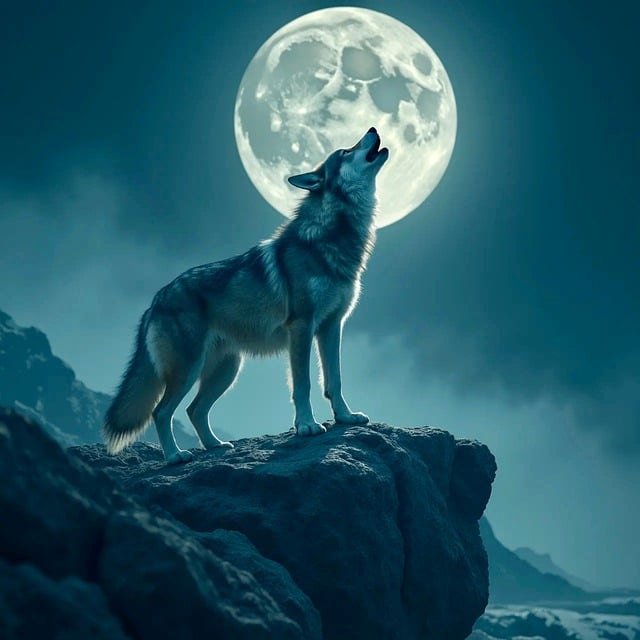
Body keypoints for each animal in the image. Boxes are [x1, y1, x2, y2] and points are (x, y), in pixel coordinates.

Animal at [103, 127, 389, 464]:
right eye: (345, 151)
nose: (373, 129)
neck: (329, 238)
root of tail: (155, 300)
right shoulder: (302, 327)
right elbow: (303, 384)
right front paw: (306, 426)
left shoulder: (332, 326)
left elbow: (335, 381)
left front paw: (345, 418)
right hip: (189, 370)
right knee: (161, 412)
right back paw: (175, 456)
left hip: (226, 370)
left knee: (194, 410)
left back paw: (215, 446)